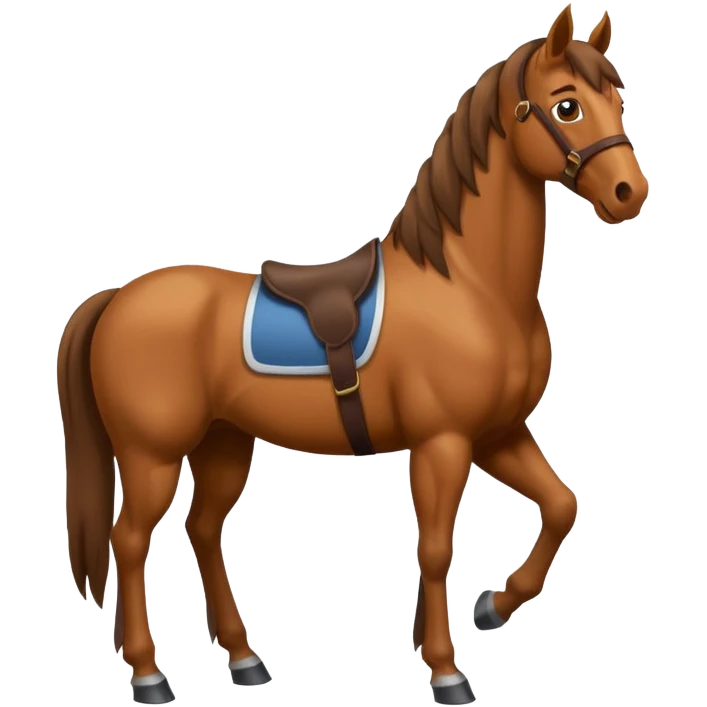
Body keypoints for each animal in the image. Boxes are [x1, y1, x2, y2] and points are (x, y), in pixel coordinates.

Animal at [57, 4, 649, 704]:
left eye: (617, 98)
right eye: (566, 105)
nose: (629, 193)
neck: (471, 286)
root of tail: (117, 298)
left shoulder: (498, 434)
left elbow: (561, 506)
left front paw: (492, 606)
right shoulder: (444, 443)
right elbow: (437, 550)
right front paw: (445, 669)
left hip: (223, 443)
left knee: (201, 530)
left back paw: (244, 660)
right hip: (151, 454)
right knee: (129, 540)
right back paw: (149, 673)